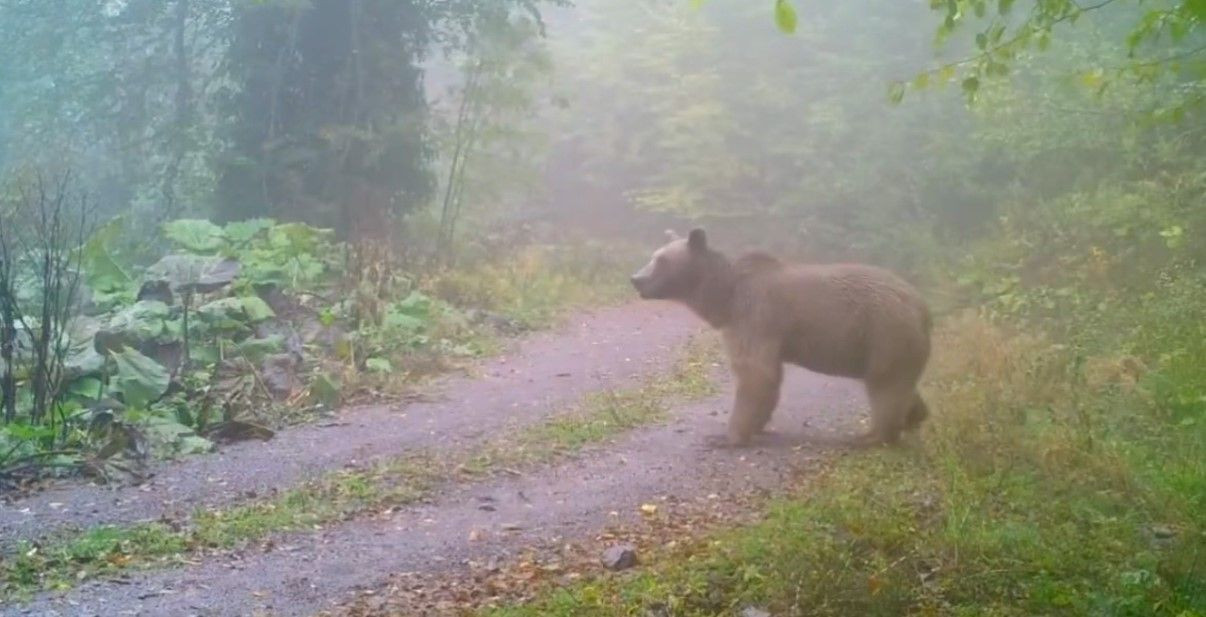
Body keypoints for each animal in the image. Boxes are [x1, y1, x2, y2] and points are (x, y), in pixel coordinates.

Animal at [631, 228, 931, 445]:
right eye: (653, 255)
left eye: (661, 260)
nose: (636, 278)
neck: (725, 298)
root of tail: (922, 306)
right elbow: (768, 378)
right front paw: (757, 426)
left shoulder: (754, 316)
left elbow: (755, 373)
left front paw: (726, 436)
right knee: (899, 384)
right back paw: (915, 416)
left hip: (884, 332)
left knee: (885, 386)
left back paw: (873, 435)